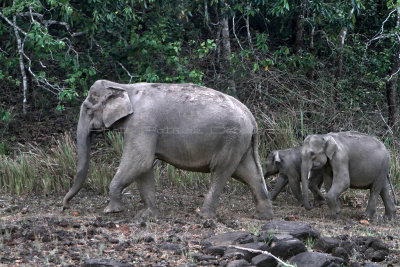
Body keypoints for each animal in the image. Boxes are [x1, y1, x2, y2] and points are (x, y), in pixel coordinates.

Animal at [63, 79, 276, 220]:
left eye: (88, 108)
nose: (64, 206)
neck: (125, 87)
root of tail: (251, 118)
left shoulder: (142, 124)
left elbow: (140, 161)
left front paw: (111, 211)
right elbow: (144, 167)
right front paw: (147, 214)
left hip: (231, 139)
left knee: (221, 172)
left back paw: (203, 216)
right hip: (241, 143)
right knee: (249, 172)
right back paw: (264, 216)